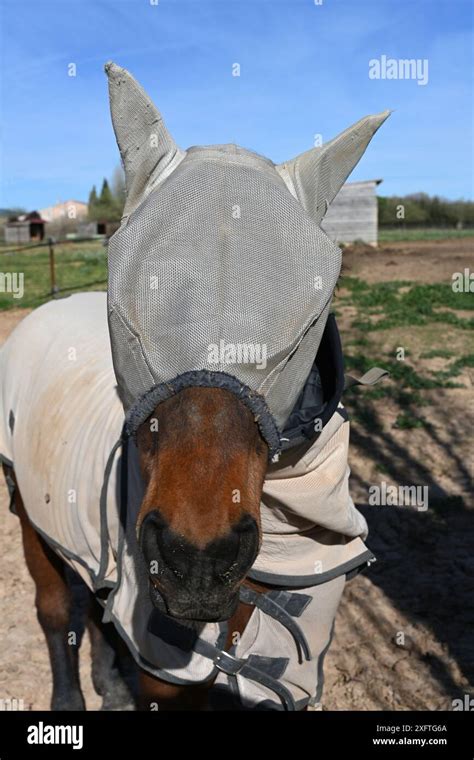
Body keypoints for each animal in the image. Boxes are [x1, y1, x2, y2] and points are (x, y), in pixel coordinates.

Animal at [0, 62, 389, 711]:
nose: (198, 559)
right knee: (56, 612)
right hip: (31, 515)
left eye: (306, 328)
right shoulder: (168, 673)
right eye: (125, 321)